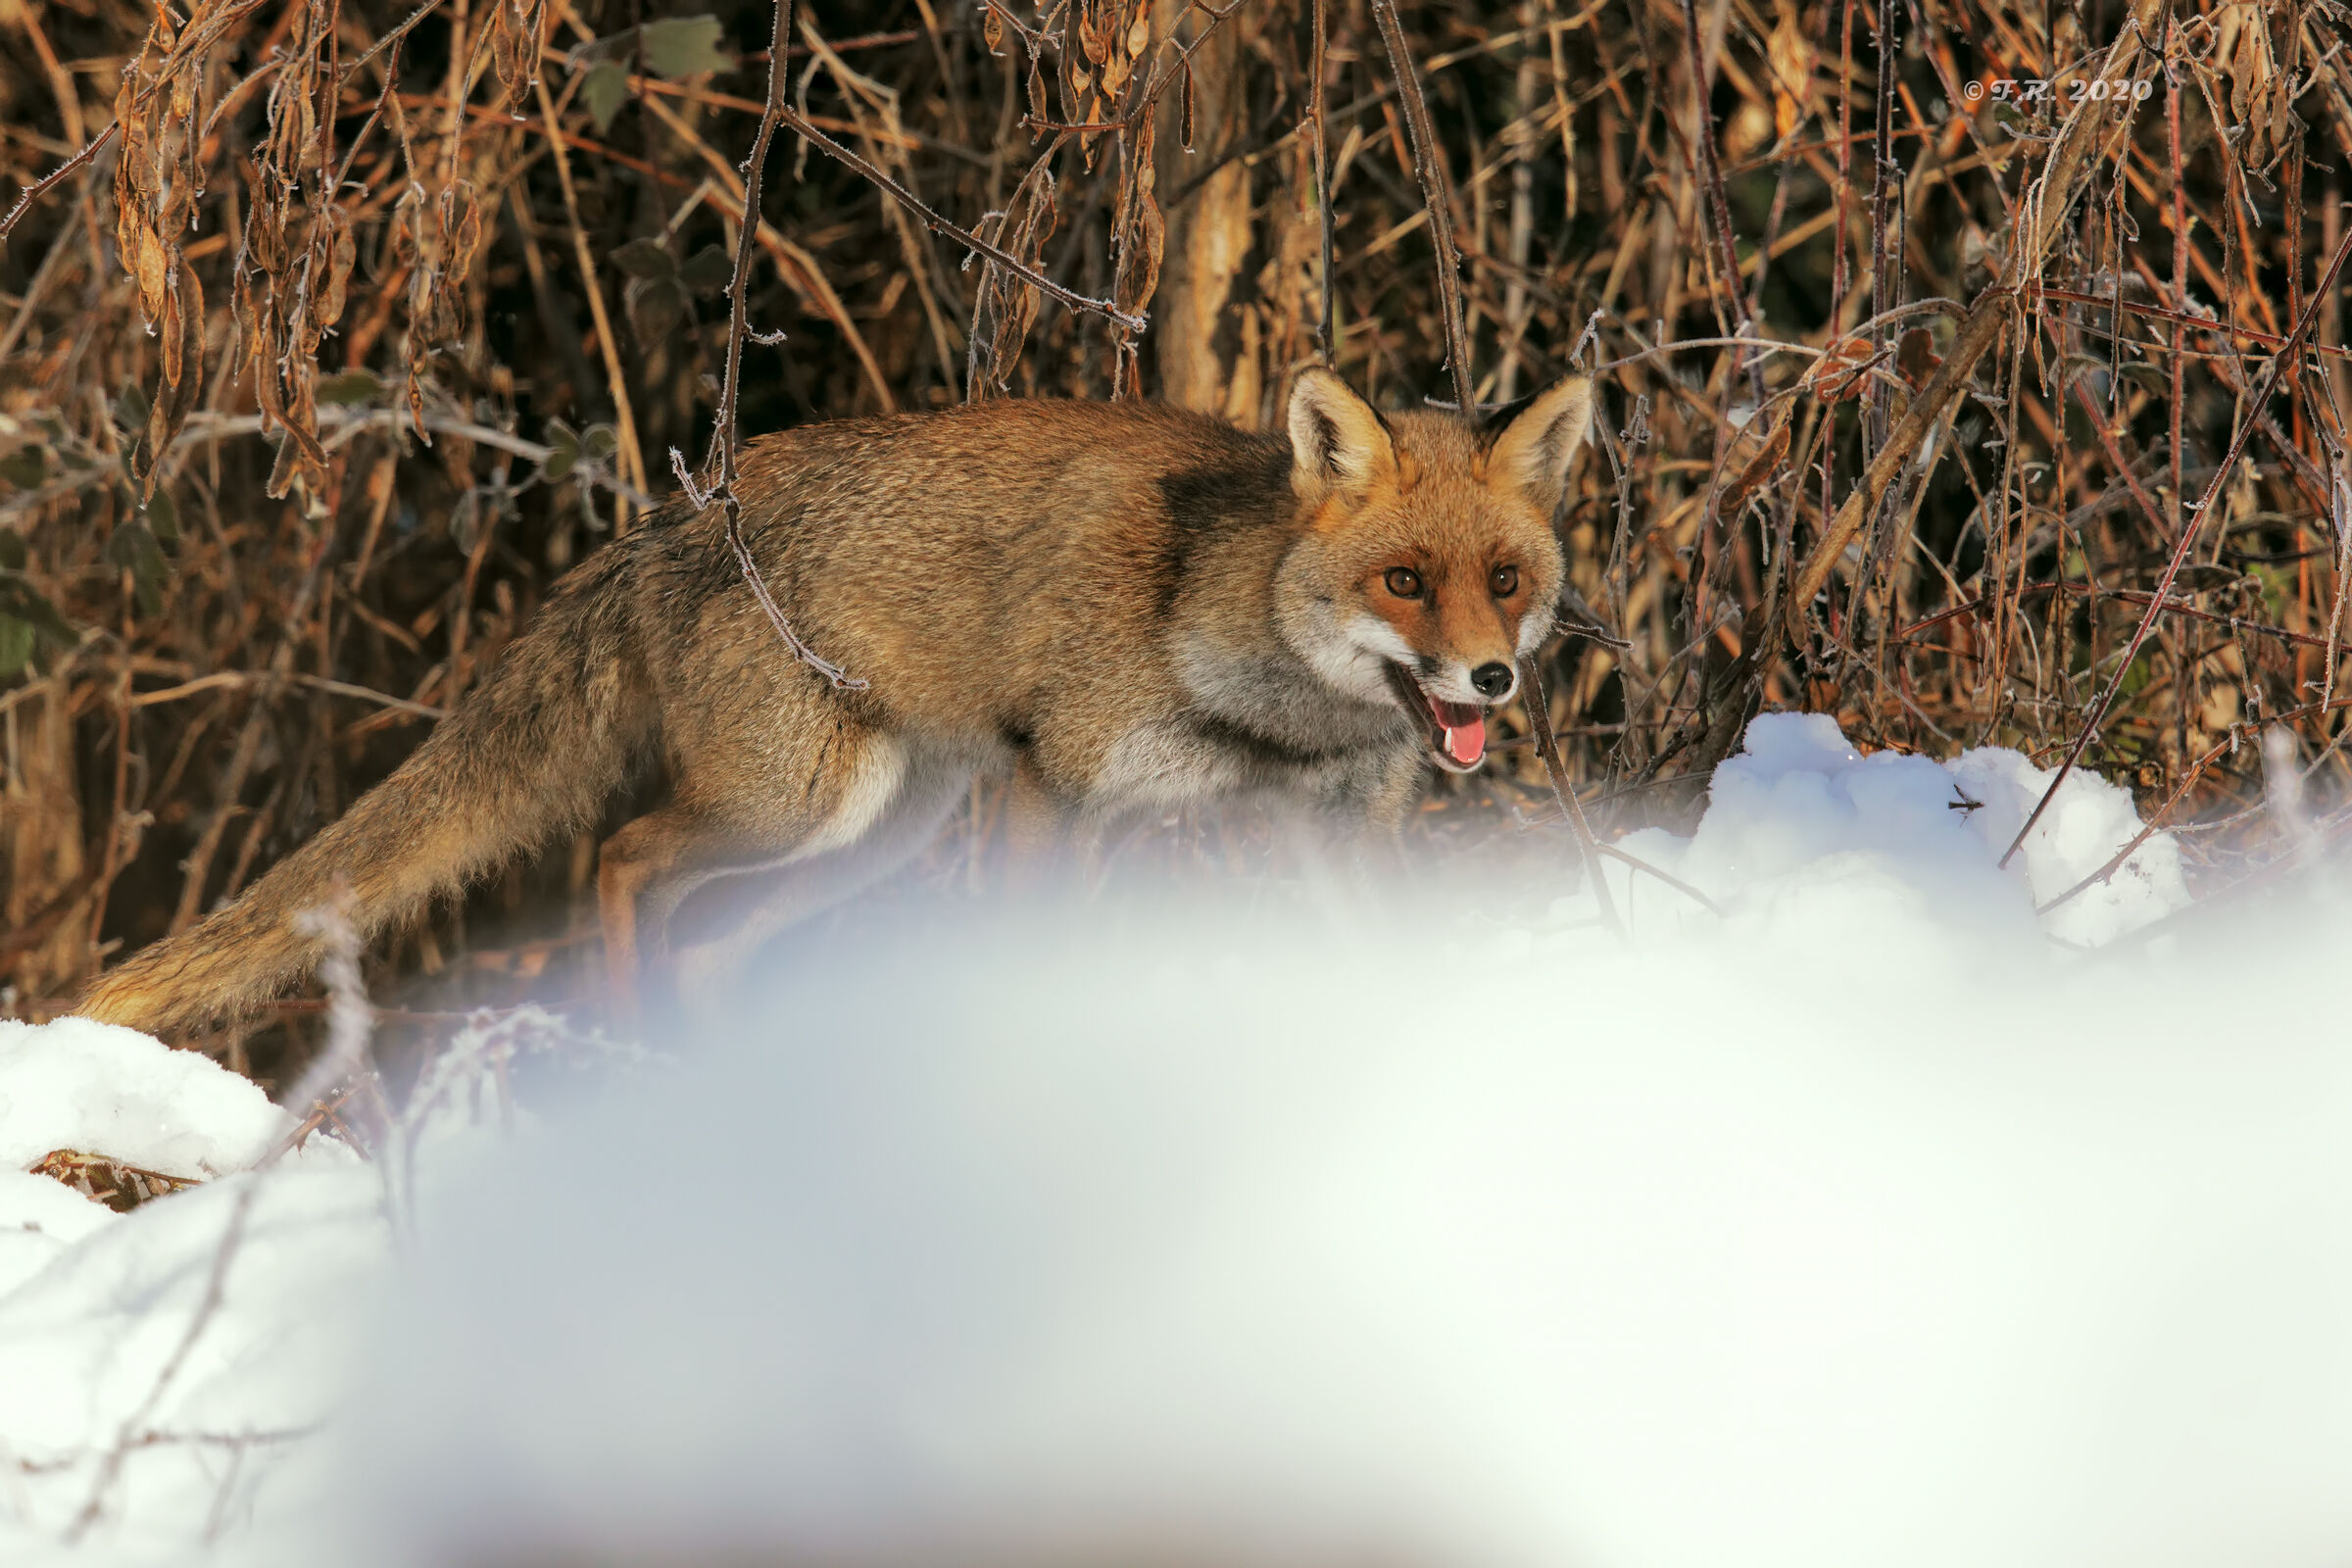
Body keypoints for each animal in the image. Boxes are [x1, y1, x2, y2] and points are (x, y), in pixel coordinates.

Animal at [73, 368, 1593, 1037]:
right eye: (1405, 581)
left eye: (1506, 580)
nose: (1493, 679)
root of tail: (681, 517)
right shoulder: (1055, 785)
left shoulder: (1328, 833)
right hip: (795, 807)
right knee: (621, 860)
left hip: (873, 836)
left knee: (708, 943)